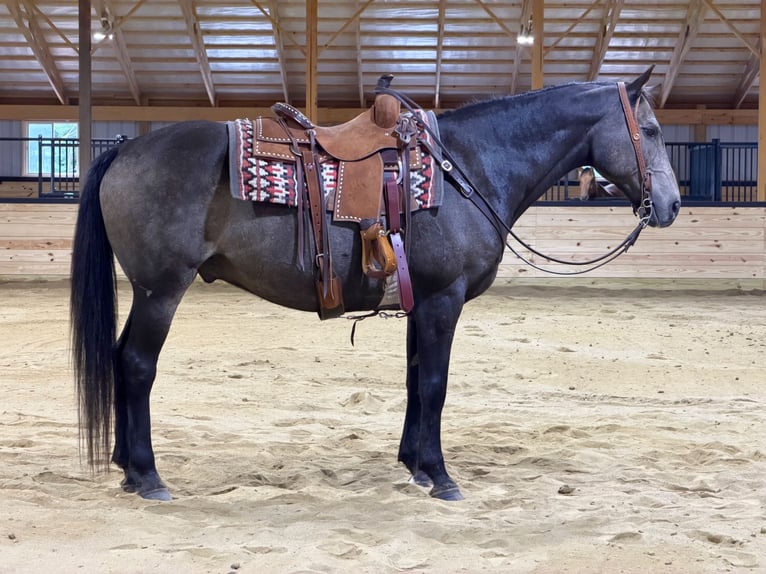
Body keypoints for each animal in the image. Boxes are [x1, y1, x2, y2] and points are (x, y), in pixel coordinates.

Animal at [70, 68, 681, 502]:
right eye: (650, 131)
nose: (672, 204)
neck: (471, 167)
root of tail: (124, 147)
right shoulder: (443, 301)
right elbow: (435, 384)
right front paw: (441, 477)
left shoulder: (421, 302)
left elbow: (415, 383)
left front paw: (414, 465)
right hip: (161, 291)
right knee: (137, 366)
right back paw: (148, 476)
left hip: (148, 293)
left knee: (121, 358)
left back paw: (126, 468)